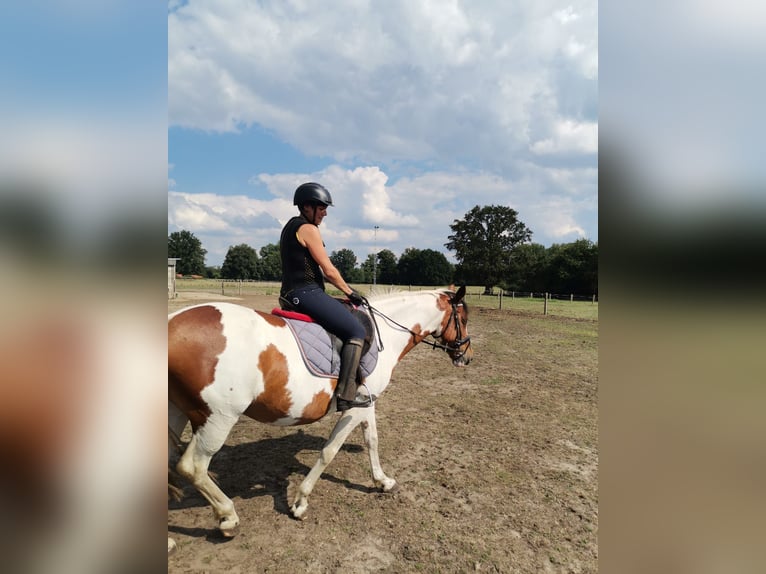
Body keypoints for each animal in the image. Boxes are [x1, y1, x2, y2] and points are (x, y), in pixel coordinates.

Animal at [168, 286, 472, 548]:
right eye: (463, 318)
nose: (466, 357)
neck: (385, 334)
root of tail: (173, 322)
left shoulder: (367, 403)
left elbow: (372, 440)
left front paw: (382, 481)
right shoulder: (354, 408)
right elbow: (329, 451)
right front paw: (300, 502)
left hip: (177, 412)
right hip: (217, 418)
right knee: (192, 467)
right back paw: (228, 517)